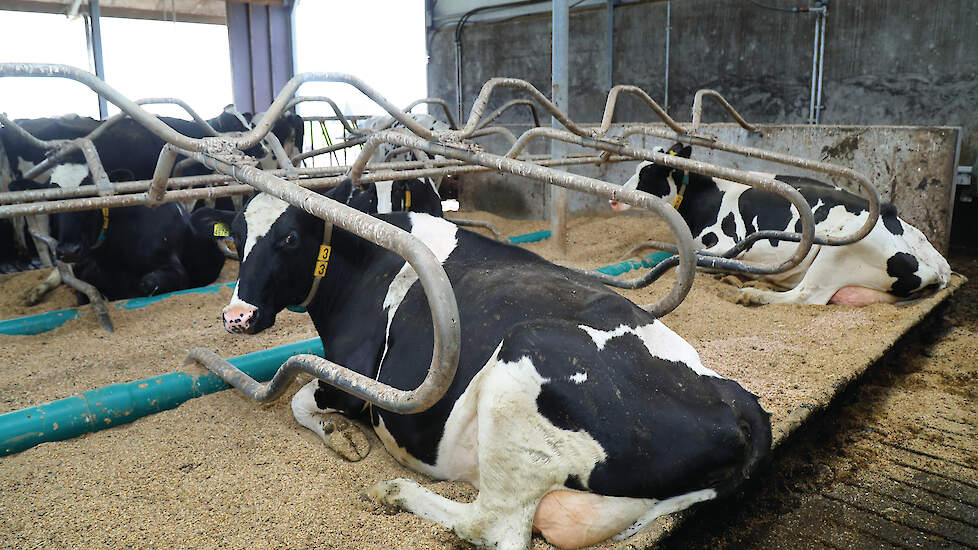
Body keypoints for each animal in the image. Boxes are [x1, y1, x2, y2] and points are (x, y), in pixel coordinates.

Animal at [198, 181, 772, 550]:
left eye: (289, 237)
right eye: (235, 239)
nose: (237, 316)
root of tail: (735, 399)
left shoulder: (357, 378)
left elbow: (299, 397)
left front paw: (341, 438)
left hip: (525, 356)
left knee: (491, 526)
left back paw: (397, 492)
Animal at [608, 144, 948, 308]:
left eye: (649, 171)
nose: (614, 199)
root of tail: (935, 264)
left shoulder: (725, 242)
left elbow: (688, 262)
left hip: (838, 250)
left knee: (806, 296)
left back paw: (751, 294)